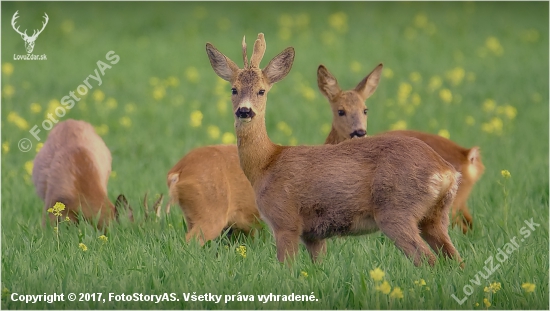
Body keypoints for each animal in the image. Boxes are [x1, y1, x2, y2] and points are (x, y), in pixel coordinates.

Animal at [207, 33, 466, 268]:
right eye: (233, 89)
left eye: (261, 91)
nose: (244, 111)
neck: (267, 162)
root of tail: (447, 171)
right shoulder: (314, 234)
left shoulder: (285, 220)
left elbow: (286, 268)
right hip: (436, 216)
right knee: (456, 260)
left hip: (396, 210)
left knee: (428, 260)